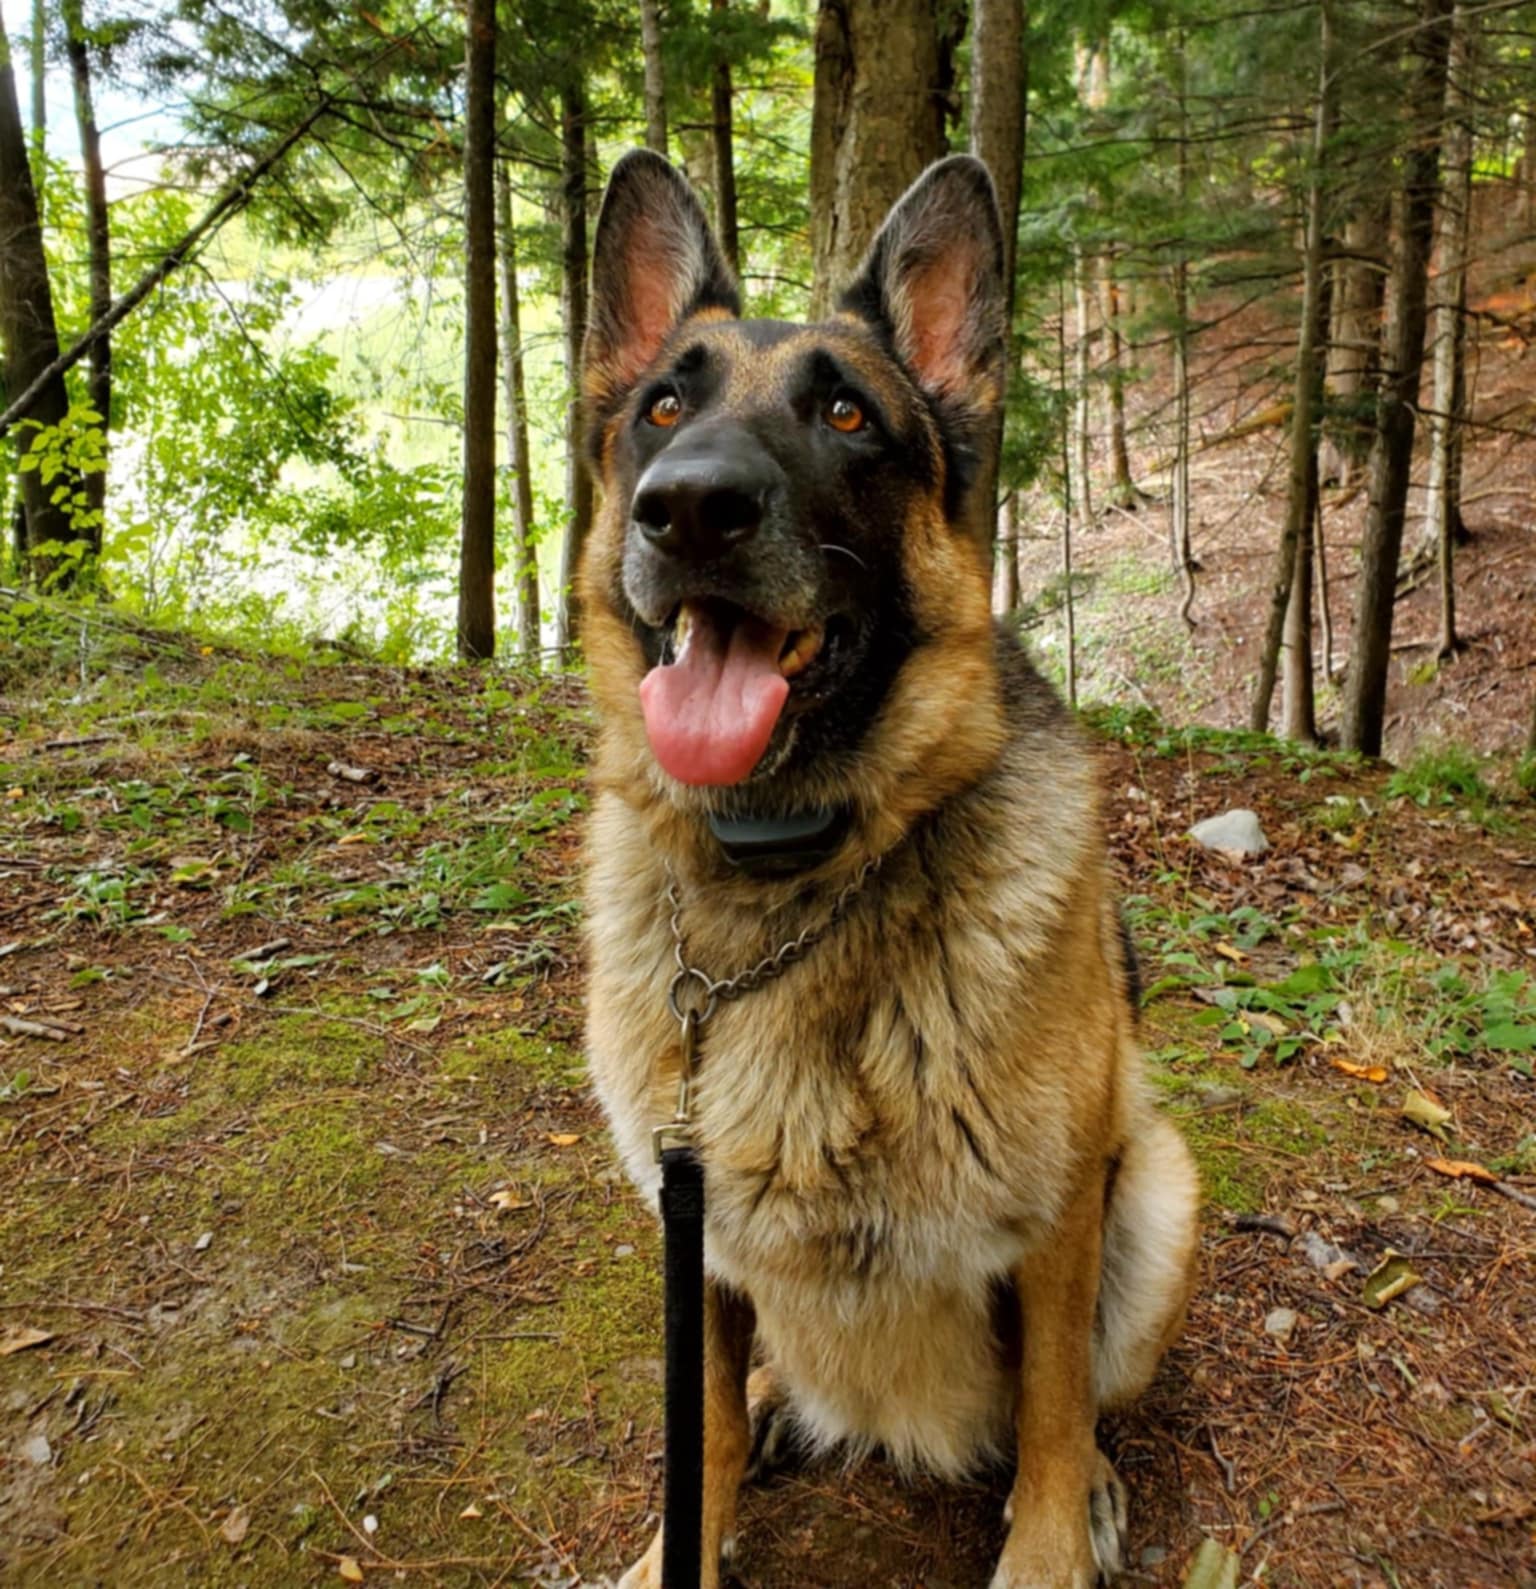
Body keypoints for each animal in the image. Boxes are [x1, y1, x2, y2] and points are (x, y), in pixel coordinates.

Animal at [578, 149, 1200, 1589]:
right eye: (662, 404)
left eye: (849, 416)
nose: (689, 507)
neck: (785, 876)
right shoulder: (691, 1230)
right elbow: (698, 1417)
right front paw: (684, 1538)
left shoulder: (1059, 1218)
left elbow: (1050, 1408)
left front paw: (1049, 1546)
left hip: (1156, 1193)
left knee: (1080, 1398)